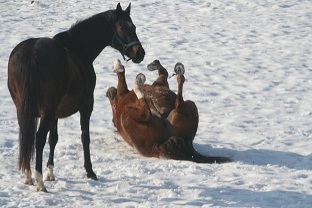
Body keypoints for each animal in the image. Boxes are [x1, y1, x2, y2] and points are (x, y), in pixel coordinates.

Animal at [6, 3, 145, 192]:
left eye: (134, 27)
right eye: (123, 28)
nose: (140, 53)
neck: (78, 48)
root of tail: (31, 53)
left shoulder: (55, 113)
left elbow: (54, 138)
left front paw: (50, 173)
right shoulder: (86, 105)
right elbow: (84, 137)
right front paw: (90, 171)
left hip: (24, 109)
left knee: (26, 136)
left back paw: (28, 176)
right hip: (46, 110)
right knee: (38, 138)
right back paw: (39, 181)